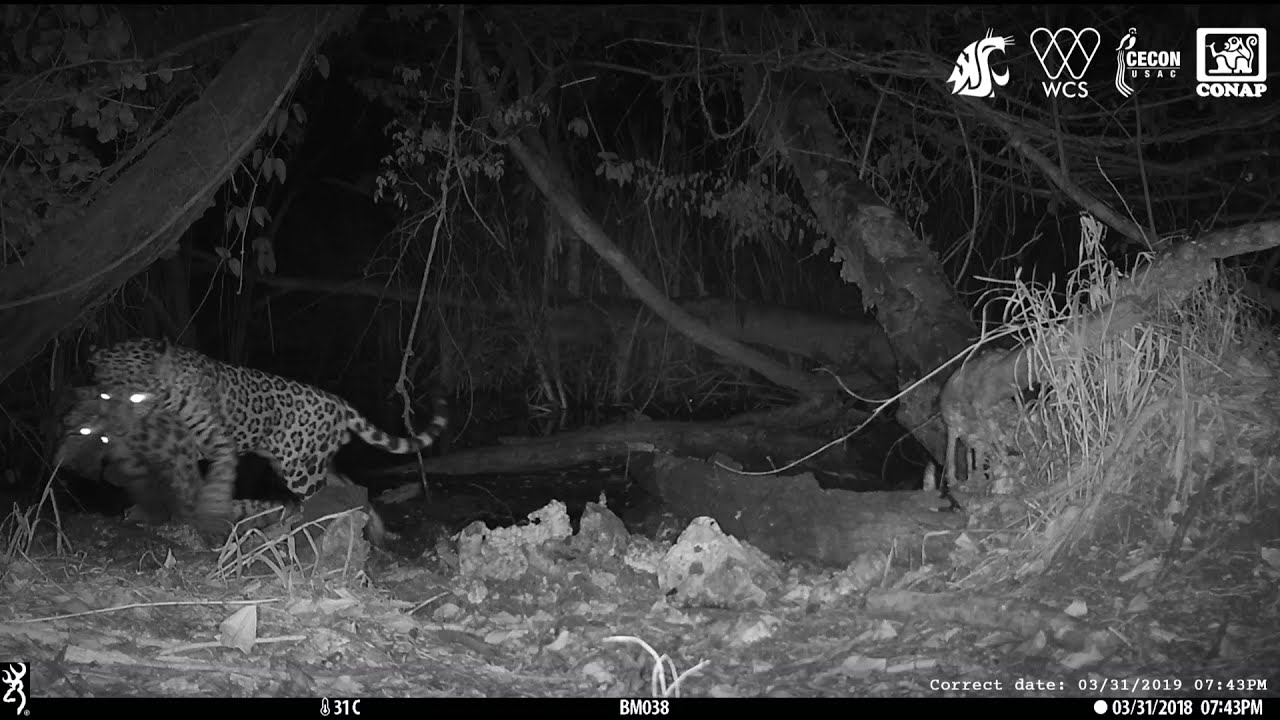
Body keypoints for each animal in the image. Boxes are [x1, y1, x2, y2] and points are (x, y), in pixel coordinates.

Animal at [88, 338, 448, 537]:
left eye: (137, 393)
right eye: (104, 393)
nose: (118, 424)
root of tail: (338, 401)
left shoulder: (216, 442)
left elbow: (214, 482)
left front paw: (211, 512)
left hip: (300, 468)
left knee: (321, 496)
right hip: (303, 461)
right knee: (347, 486)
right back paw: (369, 527)